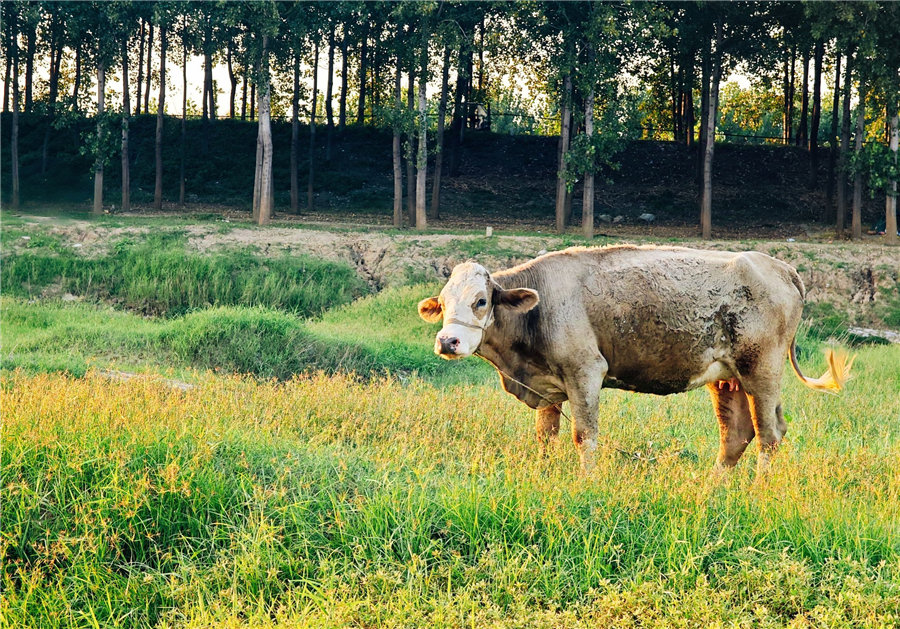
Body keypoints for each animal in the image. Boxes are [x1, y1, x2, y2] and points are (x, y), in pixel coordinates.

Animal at [418, 243, 856, 474]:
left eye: (480, 301)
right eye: (443, 303)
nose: (447, 341)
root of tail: (777, 265)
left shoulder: (585, 371)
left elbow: (584, 436)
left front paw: (586, 482)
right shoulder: (547, 386)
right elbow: (546, 435)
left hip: (761, 370)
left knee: (770, 434)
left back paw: (756, 489)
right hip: (727, 377)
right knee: (736, 435)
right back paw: (712, 489)